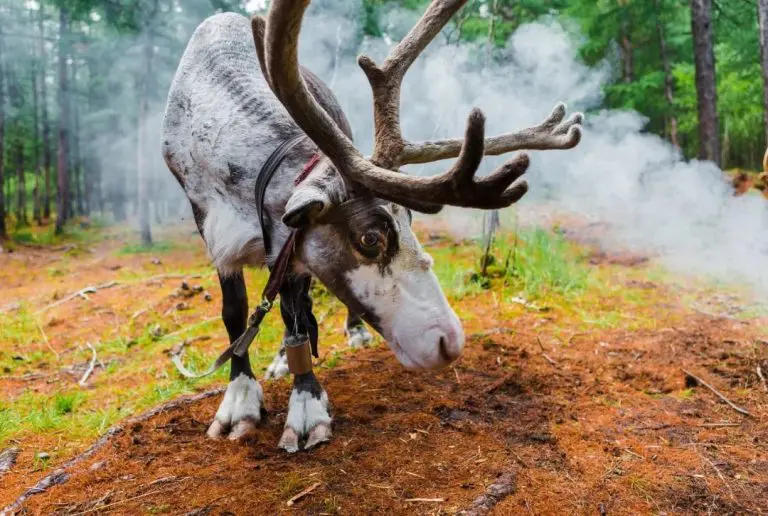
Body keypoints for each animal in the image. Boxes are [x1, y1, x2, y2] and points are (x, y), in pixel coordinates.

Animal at [162, 0, 583, 452]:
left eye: (410, 218)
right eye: (370, 237)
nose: (449, 341)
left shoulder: (289, 242)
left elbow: (294, 315)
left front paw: (306, 406)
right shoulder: (212, 226)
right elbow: (235, 311)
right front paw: (239, 399)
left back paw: (347, 335)